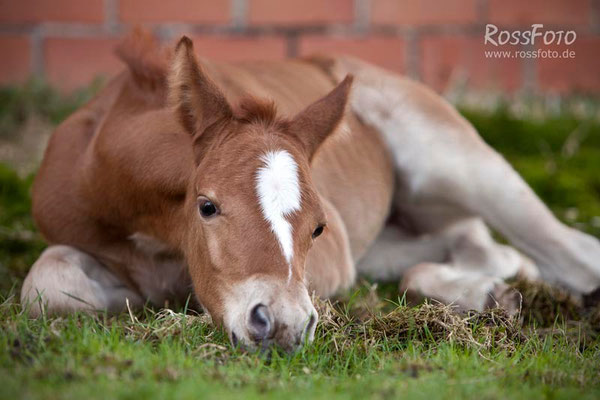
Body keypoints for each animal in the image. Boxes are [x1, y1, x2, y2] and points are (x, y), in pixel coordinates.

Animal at [21, 31, 596, 352]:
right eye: (207, 207)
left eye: (318, 227)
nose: (282, 325)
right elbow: (46, 288)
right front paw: (129, 299)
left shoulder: (335, 258)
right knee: (482, 249)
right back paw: (493, 290)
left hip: (459, 160)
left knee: (568, 251)